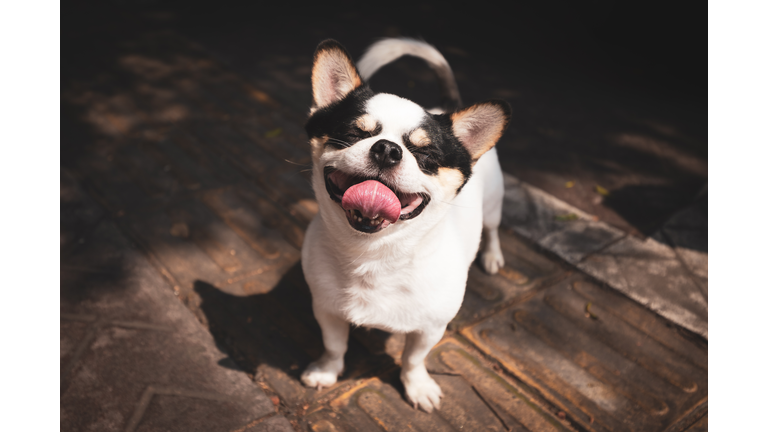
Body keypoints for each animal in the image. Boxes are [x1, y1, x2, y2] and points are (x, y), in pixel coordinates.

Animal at [300, 38, 510, 414]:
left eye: (426, 156)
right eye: (352, 134)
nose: (387, 149)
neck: (374, 255)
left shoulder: (430, 329)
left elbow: (413, 359)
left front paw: (418, 387)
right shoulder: (326, 310)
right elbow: (335, 345)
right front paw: (326, 371)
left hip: (493, 206)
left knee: (493, 229)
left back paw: (491, 256)